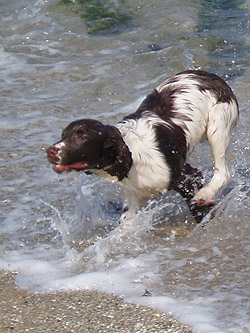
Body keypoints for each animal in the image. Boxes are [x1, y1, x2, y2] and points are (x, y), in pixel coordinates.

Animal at [46, 69, 238, 223]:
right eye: (63, 135)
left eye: (81, 136)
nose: (50, 152)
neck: (131, 157)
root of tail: (207, 74)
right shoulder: (133, 201)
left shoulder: (187, 177)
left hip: (217, 123)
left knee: (223, 172)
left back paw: (205, 194)